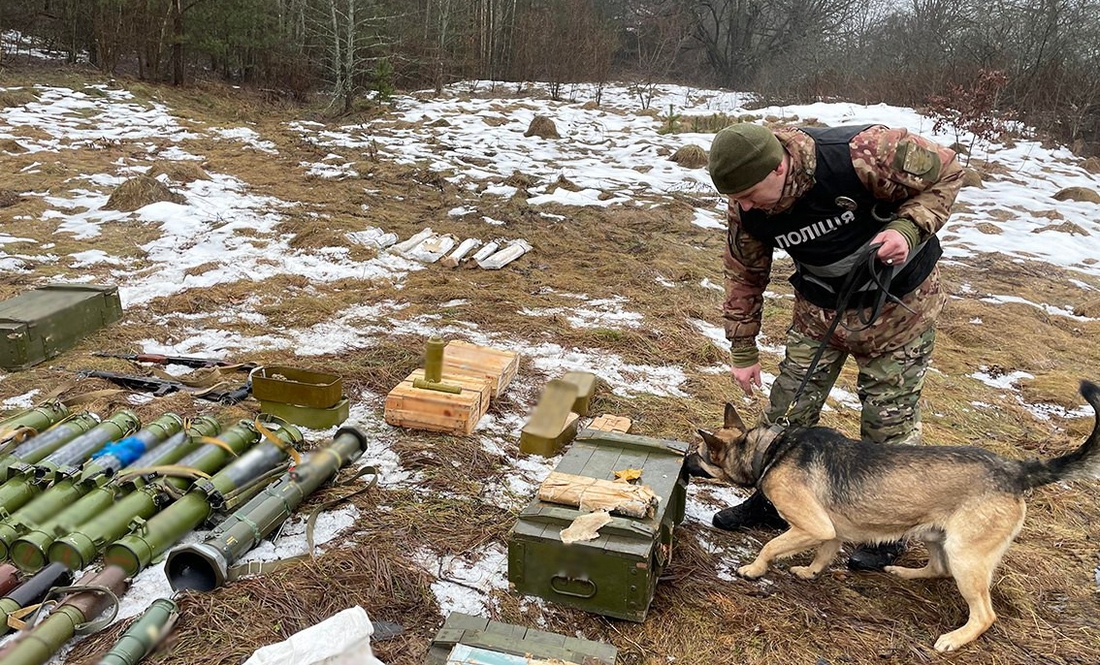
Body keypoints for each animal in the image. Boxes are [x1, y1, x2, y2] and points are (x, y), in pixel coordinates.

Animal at [686, 378, 1100, 646]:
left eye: (699, 454)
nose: (684, 460)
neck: (770, 449)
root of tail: (1017, 470)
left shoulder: (811, 525)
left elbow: (771, 547)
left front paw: (753, 570)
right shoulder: (829, 529)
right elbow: (824, 553)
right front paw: (810, 572)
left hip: (967, 556)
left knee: (984, 613)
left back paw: (955, 639)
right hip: (938, 538)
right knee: (937, 568)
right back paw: (903, 572)